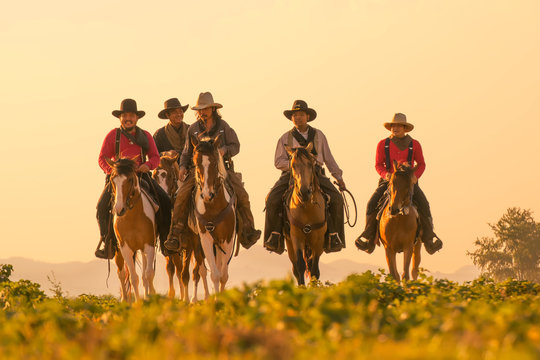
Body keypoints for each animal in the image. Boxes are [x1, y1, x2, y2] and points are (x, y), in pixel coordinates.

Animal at [104, 159, 156, 302]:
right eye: (112, 179)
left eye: (130, 179)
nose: (119, 209)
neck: (132, 217)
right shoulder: (125, 248)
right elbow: (133, 278)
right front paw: (137, 303)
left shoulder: (149, 245)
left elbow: (148, 274)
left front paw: (152, 299)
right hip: (118, 250)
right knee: (121, 274)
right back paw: (124, 300)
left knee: (144, 275)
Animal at [154, 150, 211, 302]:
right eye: (154, 176)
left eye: (170, 176)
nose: (164, 197)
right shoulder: (171, 245)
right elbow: (174, 269)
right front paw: (175, 296)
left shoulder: (191, 244)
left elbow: (187, 273)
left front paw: (187, 299)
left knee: (200, 269)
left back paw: (202, 297)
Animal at [193, 135, 237, 296]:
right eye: (196, 162)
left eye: (214, 162)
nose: (207, 194)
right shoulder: (205, 239)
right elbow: (215, 275)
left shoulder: (228, 239)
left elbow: (223, 275)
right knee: (201, 271)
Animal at [284, 142, 326, 286]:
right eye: (293, 166)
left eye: (310, 164)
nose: (304, 192)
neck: (307, 207)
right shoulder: (296, 237)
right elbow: (301, 265)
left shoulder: (319, 239)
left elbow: (314, 269)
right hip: (289, 242)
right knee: (295, 268)